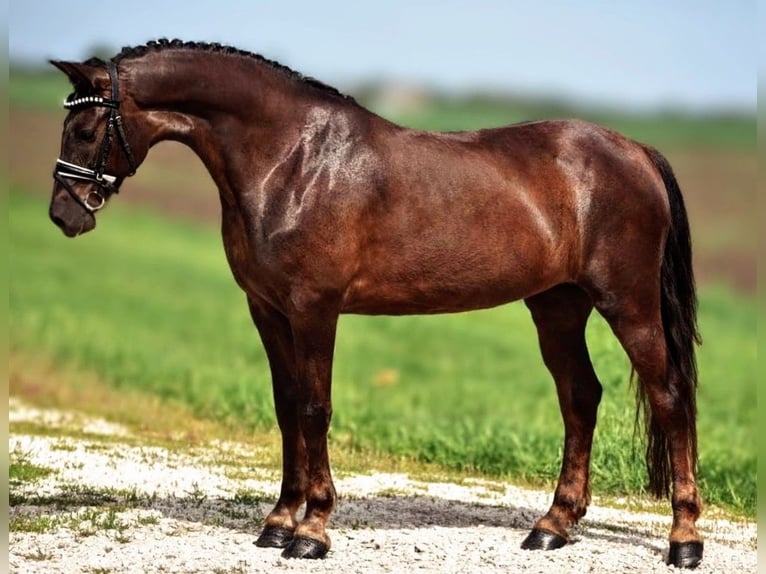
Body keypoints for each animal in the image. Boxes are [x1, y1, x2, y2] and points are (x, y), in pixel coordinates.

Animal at [48, 39, 703, 568]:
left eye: (86, 130)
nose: (63, 215)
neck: (293, 159)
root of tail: (637, 151)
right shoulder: (267, 309)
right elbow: (286, 407)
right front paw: (277, 522)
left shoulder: (314, 308)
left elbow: (314, 408)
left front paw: (311, 532)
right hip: (557, 306)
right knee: (580, 397)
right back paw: (553, 526)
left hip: (627, 302)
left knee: (670, 398)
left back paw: (684, 539)